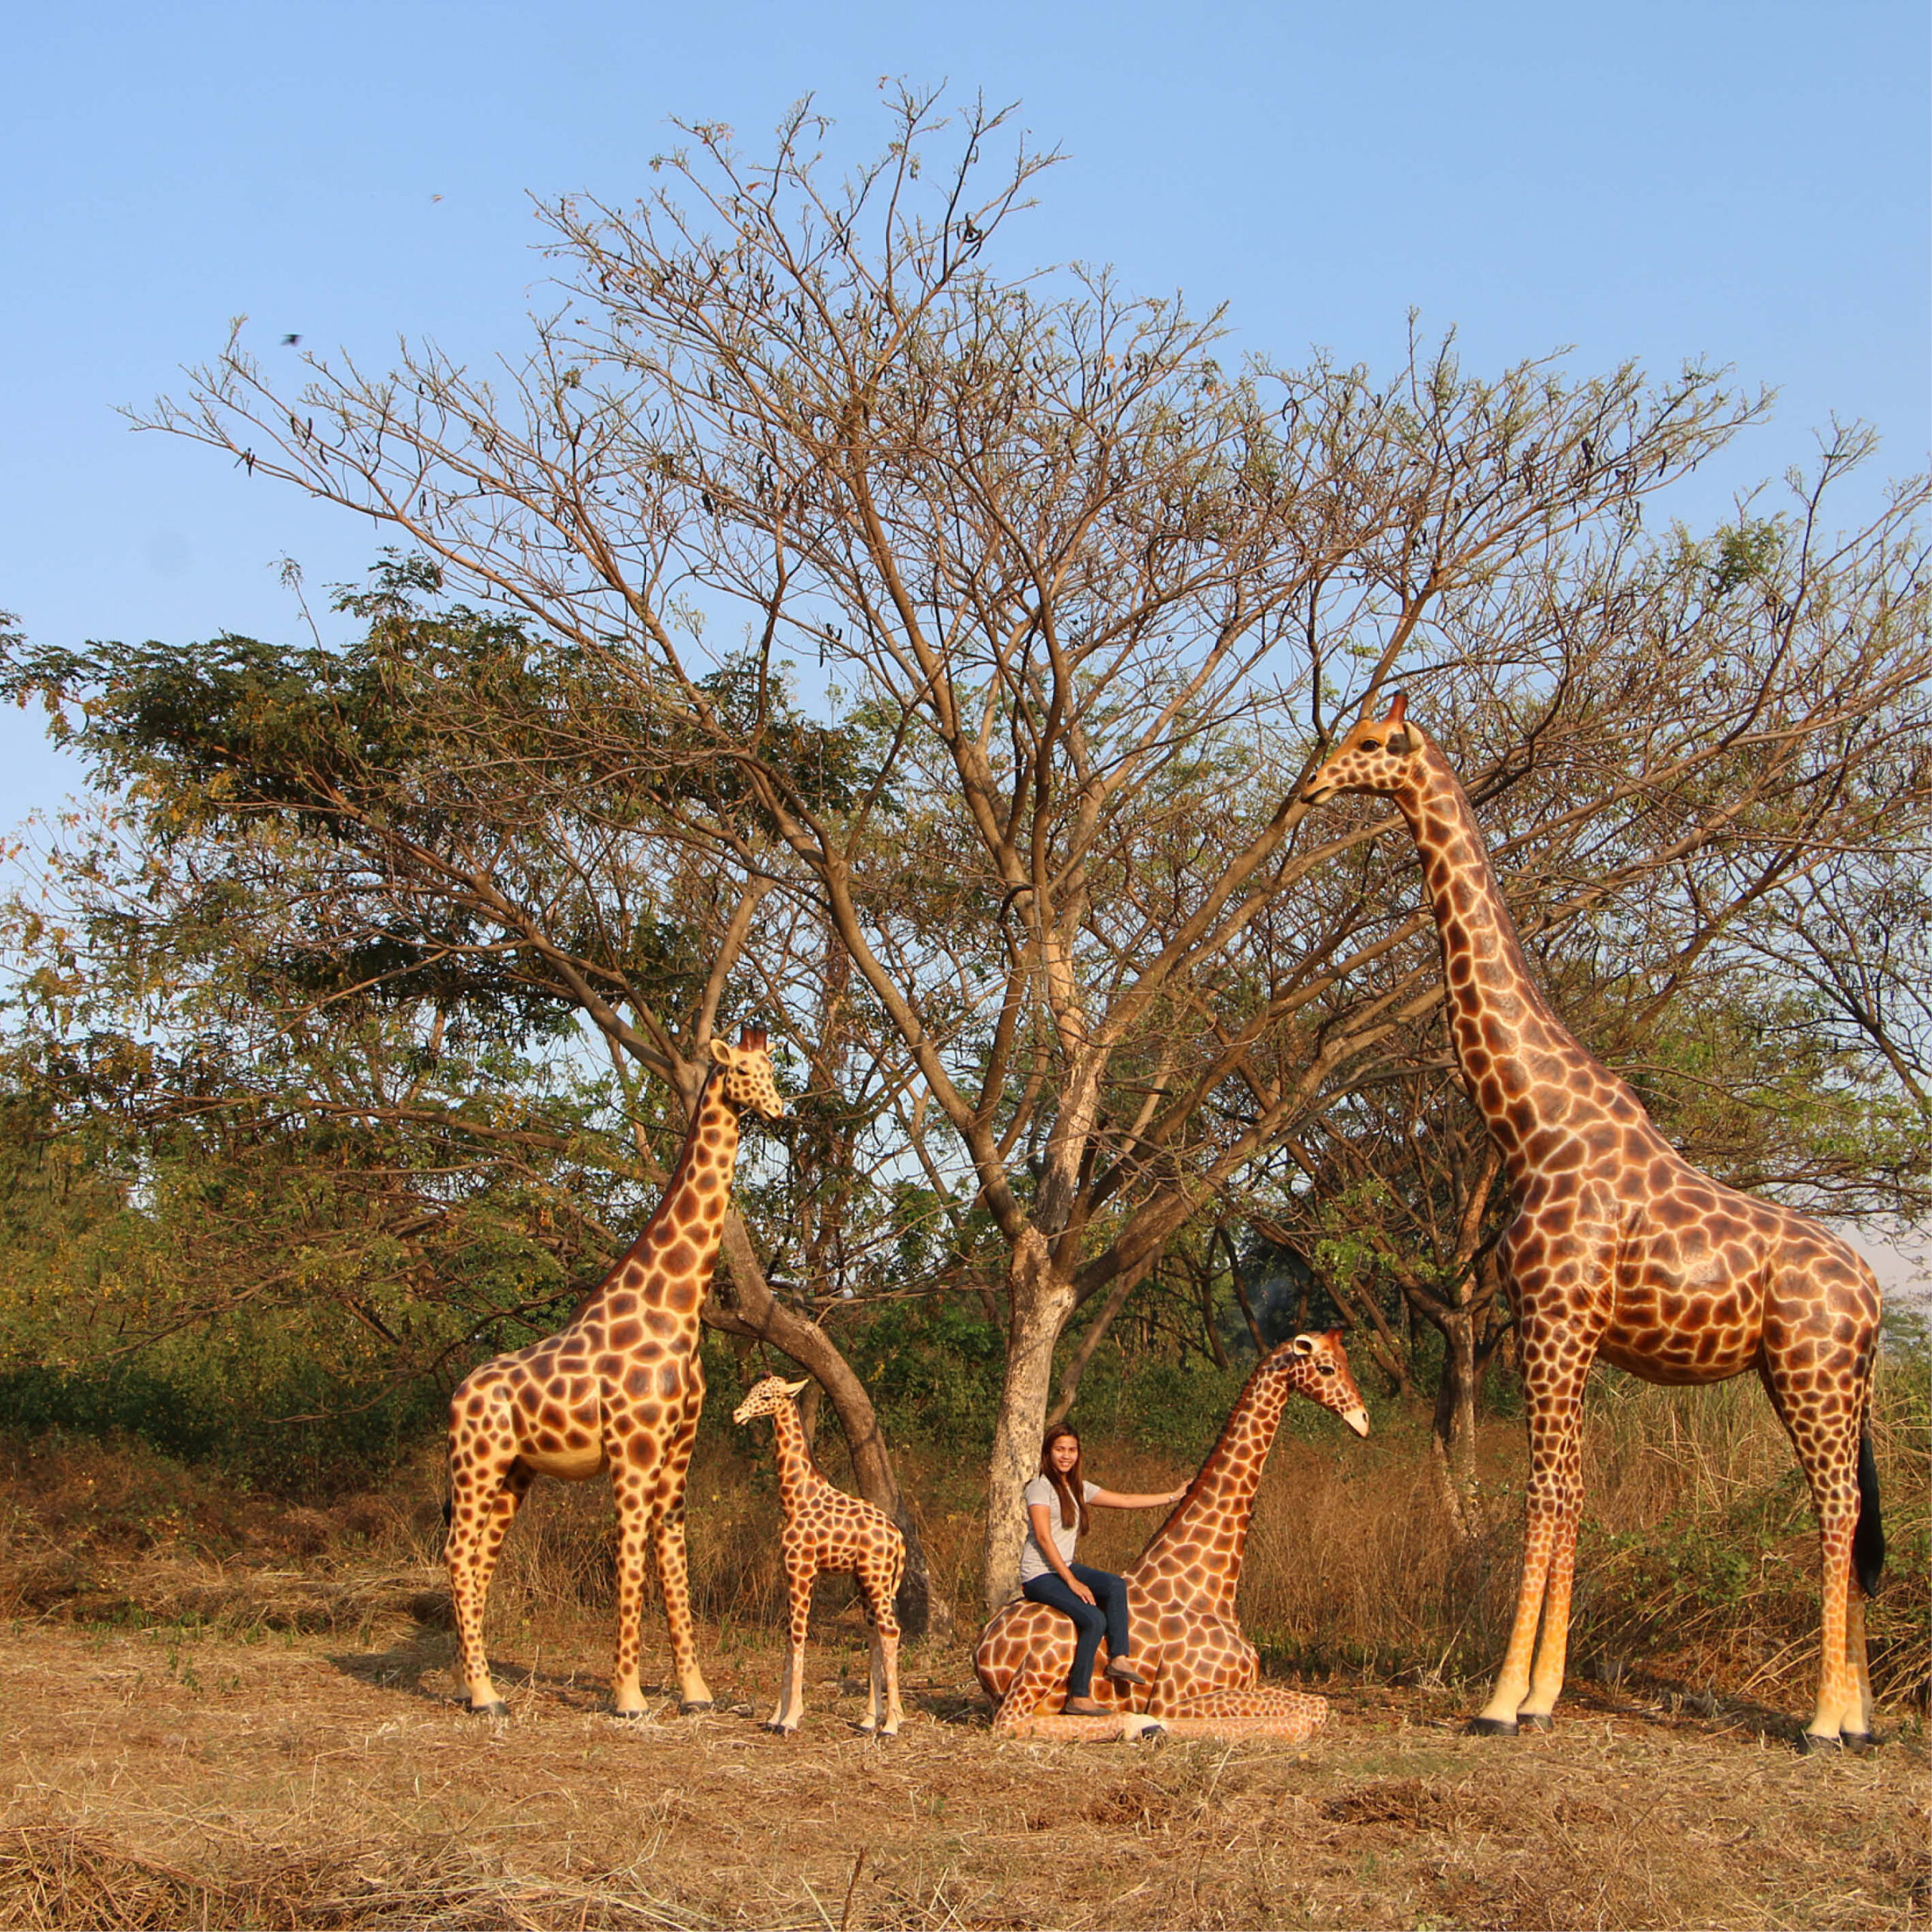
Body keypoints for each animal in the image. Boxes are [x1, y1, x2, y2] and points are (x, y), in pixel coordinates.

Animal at [445, 1029, 785, 1719]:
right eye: (742, 1070)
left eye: (772, 1069)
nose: (781, 1110)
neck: (675, 1309)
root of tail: (458, 1394)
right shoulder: (633, 1451)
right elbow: (629, 1560)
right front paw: (628, 1697)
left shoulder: (678, 1453)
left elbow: (672, 1559)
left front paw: (695, 1692)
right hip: (476, 1466)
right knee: (457, 1555)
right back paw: (485, 1696)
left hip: (513, 1473)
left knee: (480, 1561)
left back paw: (478, 1688)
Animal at [732, 1375, 907, 1737]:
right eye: (753, 1391)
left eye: (767, 1397)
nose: (737, 1414)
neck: (796, 1498)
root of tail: (898, 1539)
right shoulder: (791, 1571)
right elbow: (788, 1635)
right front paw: (776, 1715)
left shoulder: (803, 1568)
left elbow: (799, 1633)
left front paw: (791, 1718)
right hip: (863, 1580)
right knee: (874, 1633)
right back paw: (869, 1719)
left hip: (878, 1580)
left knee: (891, 1630)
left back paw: (893, 1722)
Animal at [974, 1332, 1370, 1742]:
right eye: (1326, 1368)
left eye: (1346, 1361)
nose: (1362, 1420)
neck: (1208, 1591)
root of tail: (981, 1650)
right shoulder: (1177, 1696)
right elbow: (1302, 1718)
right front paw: (1166, 1725)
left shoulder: (1247, 1683)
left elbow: (1317, 1705)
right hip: (1041, 1666)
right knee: (1011, 1722)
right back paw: (1137, 1723)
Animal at [1302, 694, 1886, 1750]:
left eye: (1371, 742)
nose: (1311, 786)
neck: (1532, 1122)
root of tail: (1873, 1300)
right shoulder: (1562, 1332)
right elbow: (1571, 1493)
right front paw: (1540, 1694)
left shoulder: (1554, 1320)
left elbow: (1545, 1492)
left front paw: (1499, 1702)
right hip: (1817, 1381)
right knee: (1851, 1510)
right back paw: (1859, 1719)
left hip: (1814, 1373)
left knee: (1832, 1507)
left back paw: (1824, 1722)